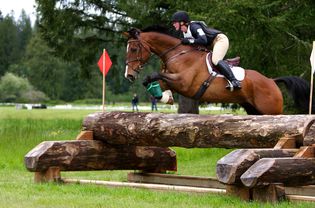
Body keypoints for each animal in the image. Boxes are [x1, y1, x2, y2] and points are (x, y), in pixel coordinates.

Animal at [123, 26, 312, 115]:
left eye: (134, 49)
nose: (128, 75)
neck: (177, 54)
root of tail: (272, 81)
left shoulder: (184, 83)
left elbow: (155, 75)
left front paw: (165, 96)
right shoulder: (173, 79)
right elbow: (154, 82)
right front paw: (165, 97)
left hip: (270, 111)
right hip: (253, 109)